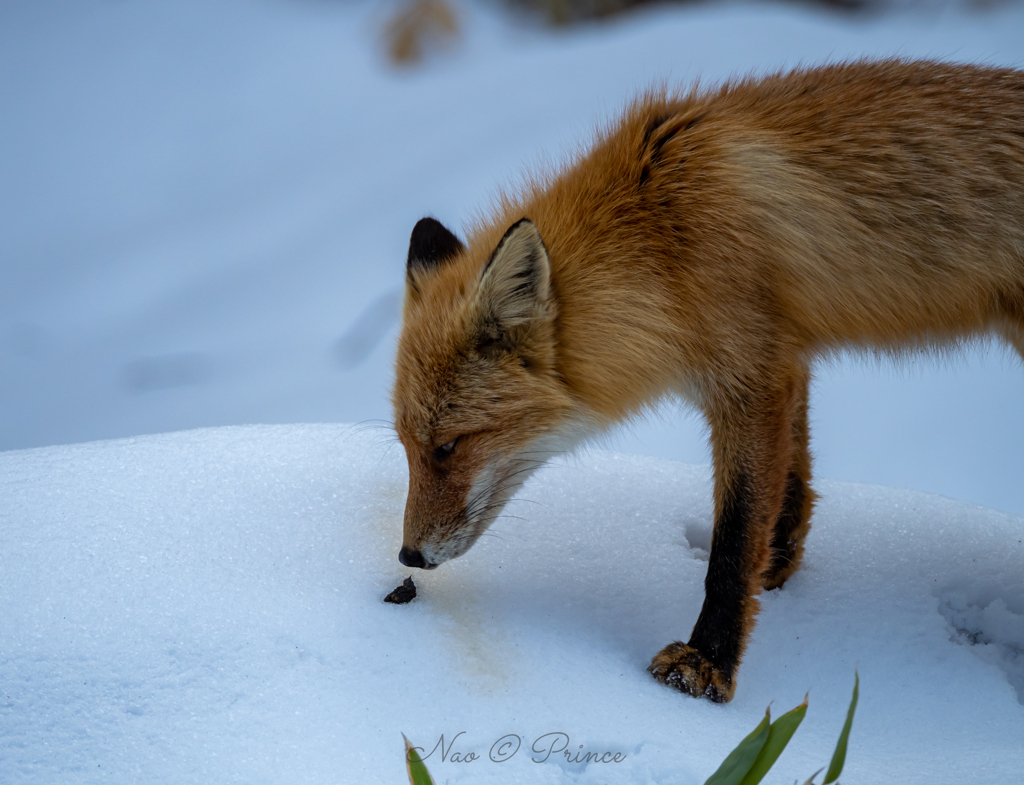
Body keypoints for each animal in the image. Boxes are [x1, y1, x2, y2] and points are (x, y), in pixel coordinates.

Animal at [391, 59, 1024, 700]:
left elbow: (734, 539)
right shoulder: (781, 361)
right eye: (407, 447)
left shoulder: (749, 382)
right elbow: (789, 491)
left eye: (447, 447)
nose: (408, 555)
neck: (665, 240)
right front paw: (775, 576)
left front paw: (706, 661)